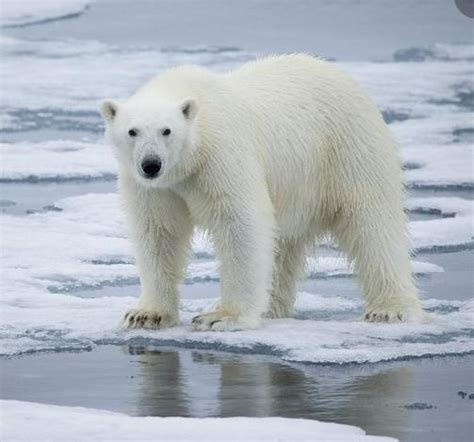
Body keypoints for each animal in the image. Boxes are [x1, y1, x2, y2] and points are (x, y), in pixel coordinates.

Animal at [100, 54, 422, 332]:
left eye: (167, 130)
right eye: (132, 131)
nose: (151, 164)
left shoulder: (221, 156)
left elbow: (240, 225)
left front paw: (221, 317)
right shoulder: (153, 188)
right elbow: (158, 233)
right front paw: (146, 314)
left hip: (348, 149)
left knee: (372, 225)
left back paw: (389, 309)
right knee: (282, 246)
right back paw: (271, 306)